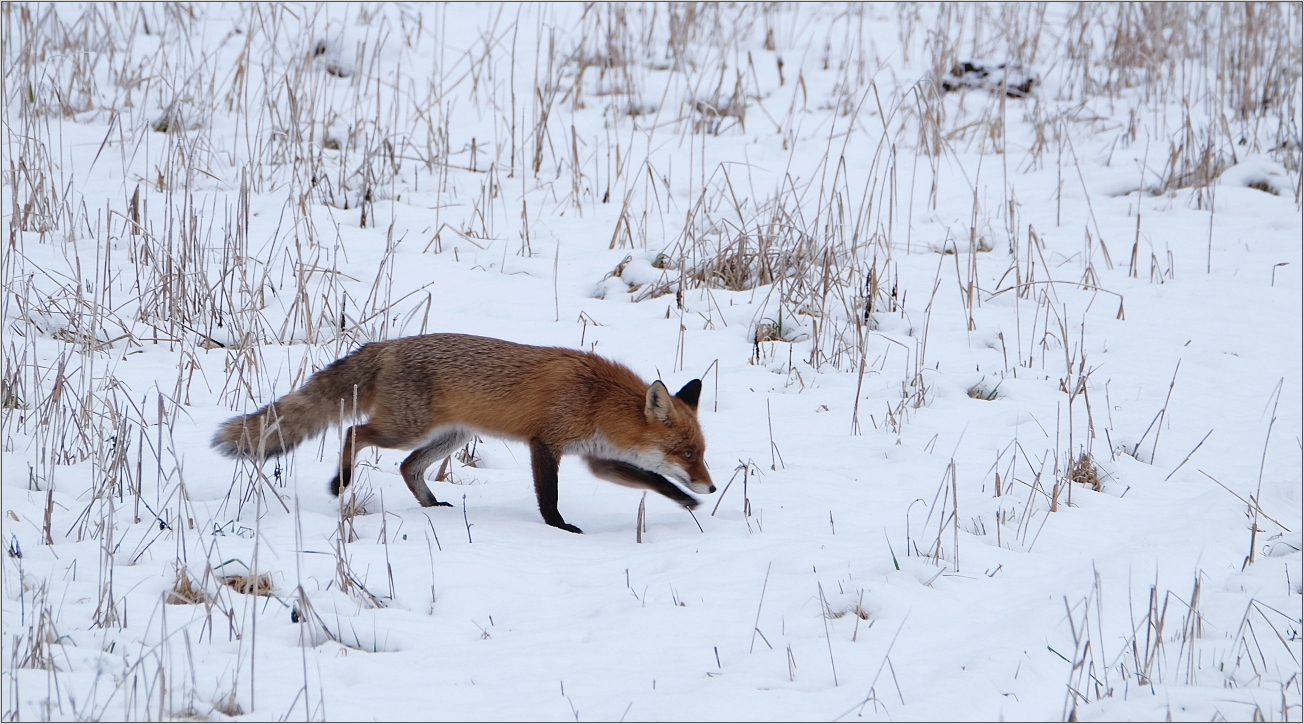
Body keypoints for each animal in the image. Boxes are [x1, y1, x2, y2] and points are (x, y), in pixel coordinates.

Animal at [211, 333, 714, 532]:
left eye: (700, 452)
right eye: (687, 452)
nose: (710, 486)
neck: (598, 399)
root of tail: (386, 345)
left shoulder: (597, 458)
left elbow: (652, 480)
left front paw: (686, 501)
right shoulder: (545, 443)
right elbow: (548, 497)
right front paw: (559, 528)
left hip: (446, 438)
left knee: (407, 467)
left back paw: (432, 506)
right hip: (405, 428)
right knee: (355, 433)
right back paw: (342, 482)